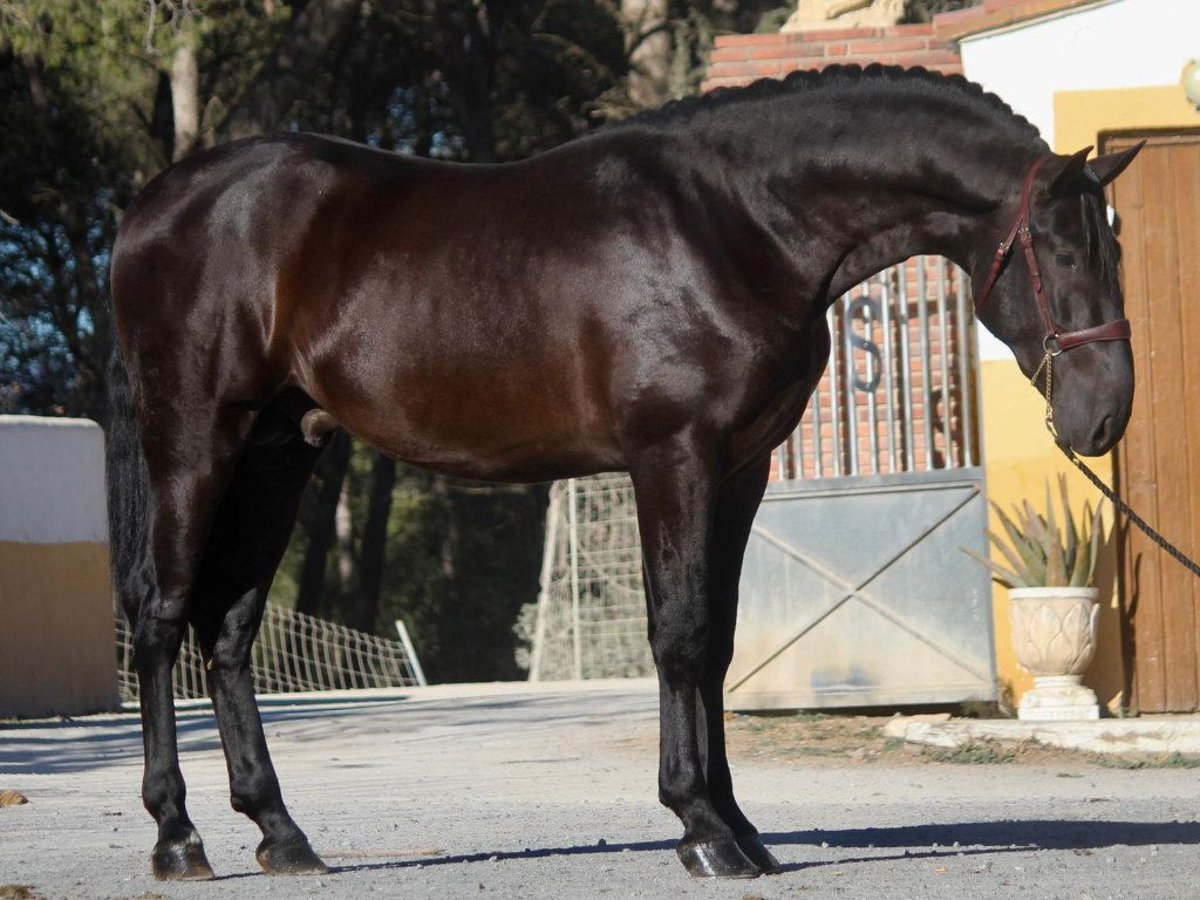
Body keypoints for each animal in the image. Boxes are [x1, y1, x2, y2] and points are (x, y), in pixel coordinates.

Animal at [108, 66, 1137, 883]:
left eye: (1115, 247)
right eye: (1064, 249)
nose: (1107, 414)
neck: (734, 222)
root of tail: (150, 206)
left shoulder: (740, 468)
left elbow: (716, 643)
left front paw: (738, 828)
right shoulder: (672, 456)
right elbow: (679, 634)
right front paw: (702, 830)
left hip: (282, 453)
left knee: (229, 632)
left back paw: (281, 833)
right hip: (198, 439)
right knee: (161, 617)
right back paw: (177, 839)